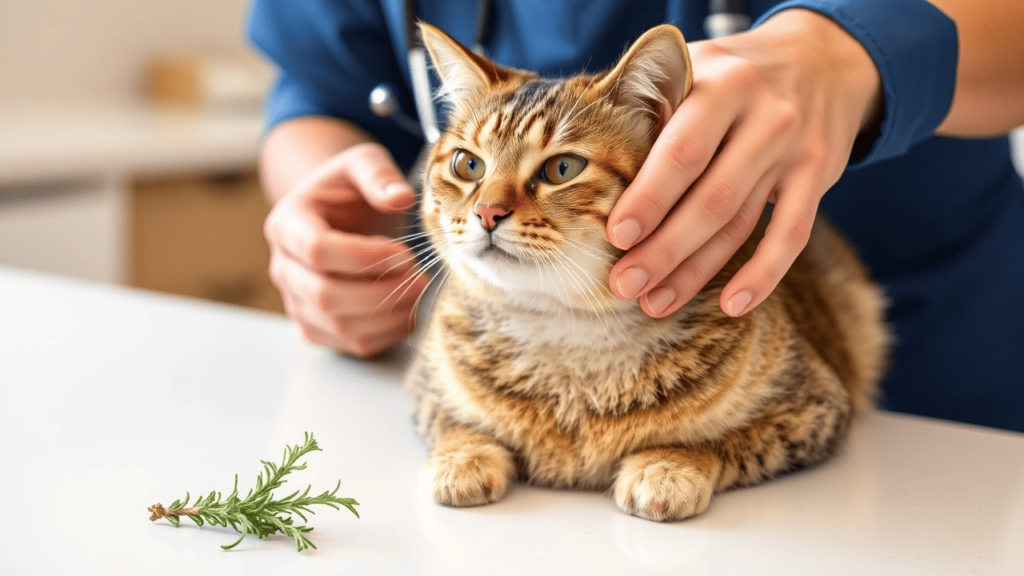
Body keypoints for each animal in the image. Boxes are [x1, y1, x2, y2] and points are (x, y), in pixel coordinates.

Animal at [401, 23, 888, 520]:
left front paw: (669, 465)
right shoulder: (424, 386)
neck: (569, 333)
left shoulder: (816, 408)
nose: (486, 212)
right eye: (468, 164)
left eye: (563, 168)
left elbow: (719, 440)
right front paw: (464, 456)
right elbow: (455, 421)